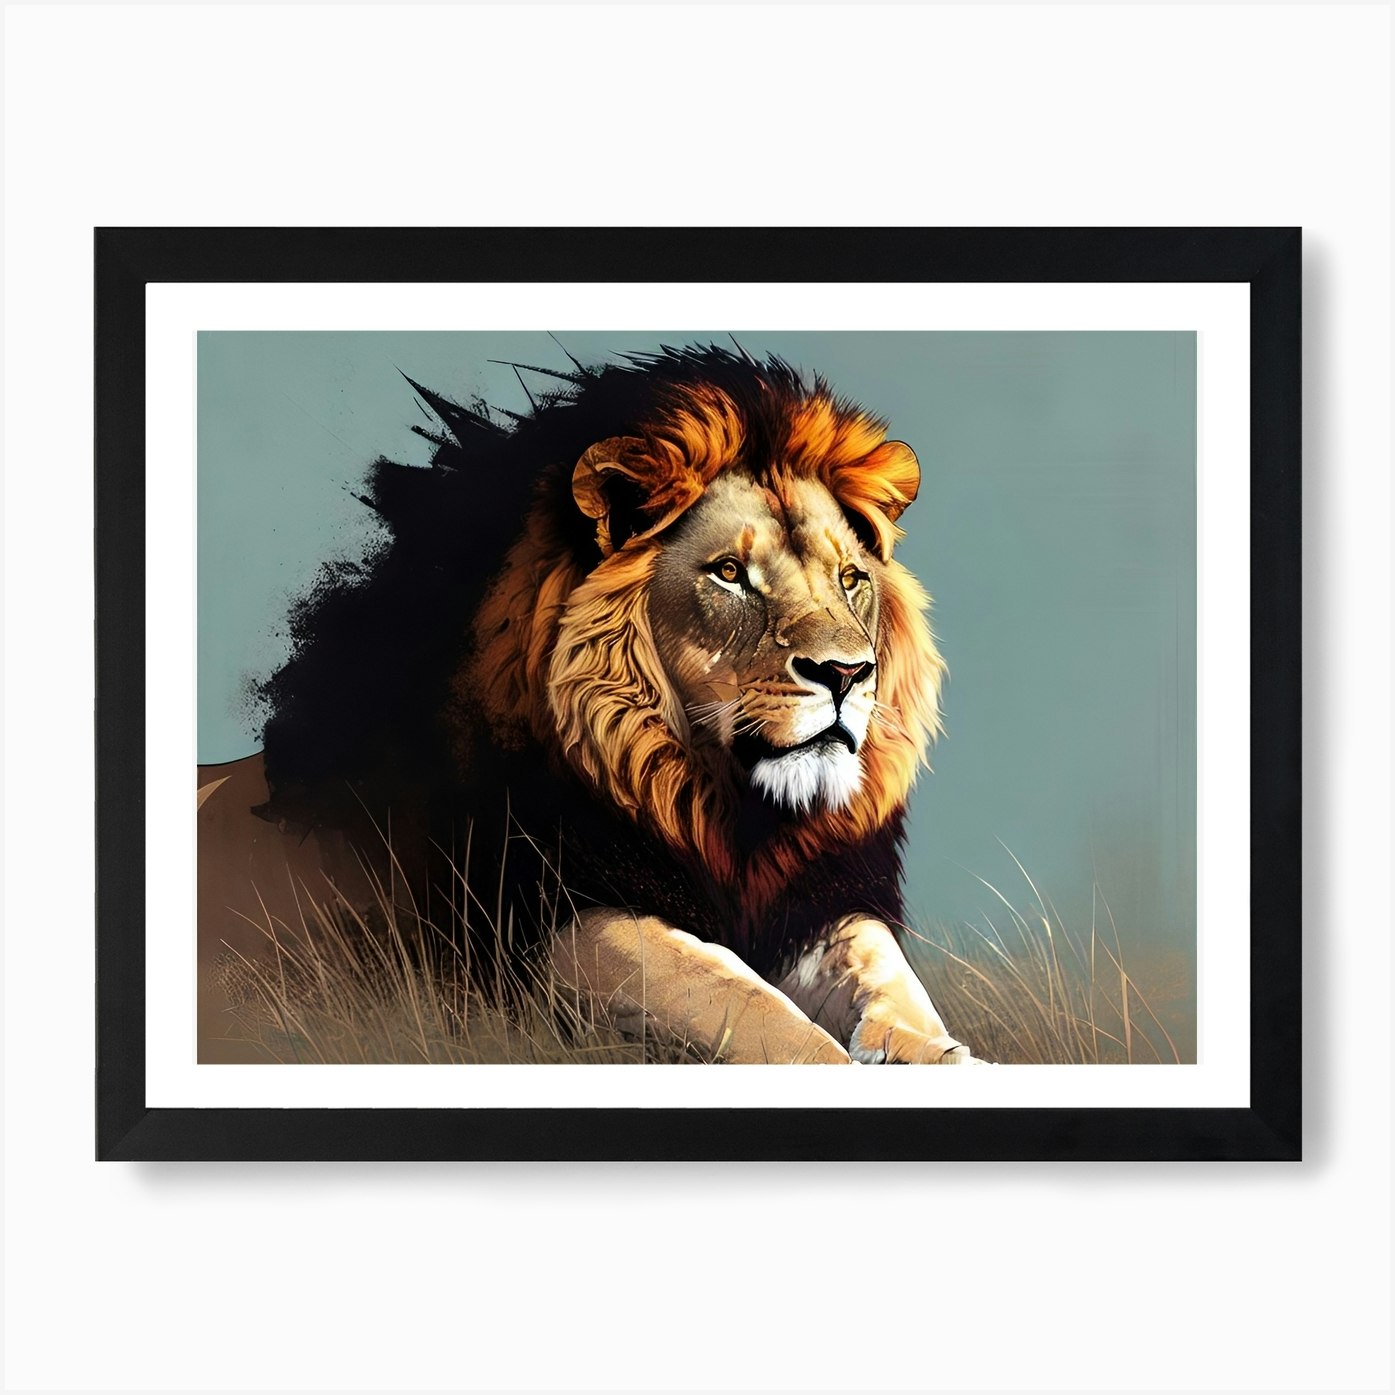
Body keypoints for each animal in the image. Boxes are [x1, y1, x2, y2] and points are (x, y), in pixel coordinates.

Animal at [204, 344, 981, 1065]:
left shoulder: (819, 902)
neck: (730, 817)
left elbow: (889, 982)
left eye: (851, 578)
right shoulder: (549, 925)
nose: (847, 672)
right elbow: (750, 1004)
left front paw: (940, 1054)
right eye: (730, 573)